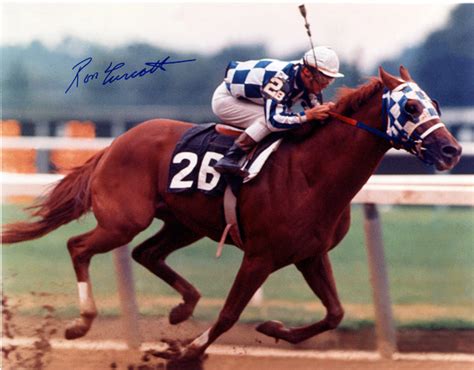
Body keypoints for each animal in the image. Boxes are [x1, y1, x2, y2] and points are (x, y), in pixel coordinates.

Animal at [2, 66, 462, 358]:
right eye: (411, 108)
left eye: (437, 104)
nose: (452, 150)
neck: (311, 173)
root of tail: (115, 143)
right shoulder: (261, 255)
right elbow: (228, 314)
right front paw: (185, 354)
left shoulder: (310, 254)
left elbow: (335, 313)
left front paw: (272, 328)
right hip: (123, 220)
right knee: (79, 246)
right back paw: (82, 322)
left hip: (184, 224)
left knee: (145, 253)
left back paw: (181, 308)